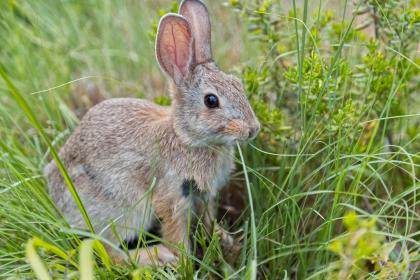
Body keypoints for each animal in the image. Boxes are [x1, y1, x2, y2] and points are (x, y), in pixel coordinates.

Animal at [43, 0, 260, 266]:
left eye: (238, 84)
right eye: (211, 101)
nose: (252, 129)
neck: (185, 137)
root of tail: (55, 194)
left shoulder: (204, 197)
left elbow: (208, 221)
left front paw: (228, 242)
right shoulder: (172, 195)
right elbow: (176, 233)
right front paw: (183, 261)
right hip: (125, 208)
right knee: (107, 250)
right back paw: (155, 257)